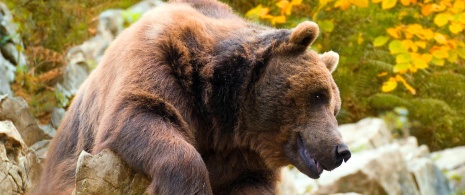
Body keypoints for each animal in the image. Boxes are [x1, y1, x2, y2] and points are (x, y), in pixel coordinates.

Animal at [38, 0, 350, 194]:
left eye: (335, 108)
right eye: (318, 95)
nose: (342, 150)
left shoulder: (241, 158)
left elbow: (251, 184)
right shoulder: (160, 61)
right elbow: (142, 113)